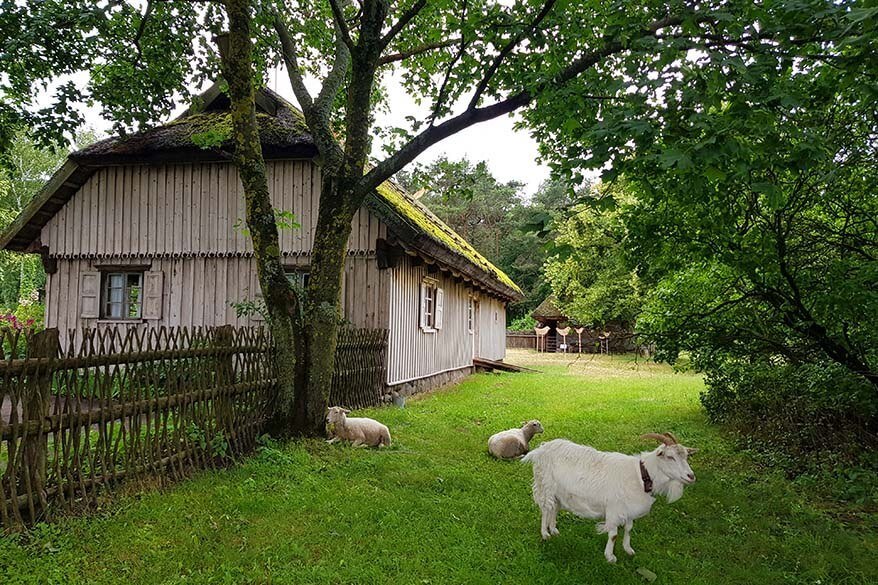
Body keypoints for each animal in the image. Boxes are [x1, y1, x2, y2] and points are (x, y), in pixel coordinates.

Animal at [524, 434, 700, 560]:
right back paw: (545, 534)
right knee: (545, 509)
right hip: (545, 485)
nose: (691, 476)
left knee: (554, 508)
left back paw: (553, 529)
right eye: (670, 457)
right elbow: (614, 534)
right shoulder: (614, 509)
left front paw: (628, 549)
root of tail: (540, 450)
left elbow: (629, 529)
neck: (641, 475)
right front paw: (610, 557)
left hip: (559, 493)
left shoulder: (629, 510)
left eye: (686, 456)